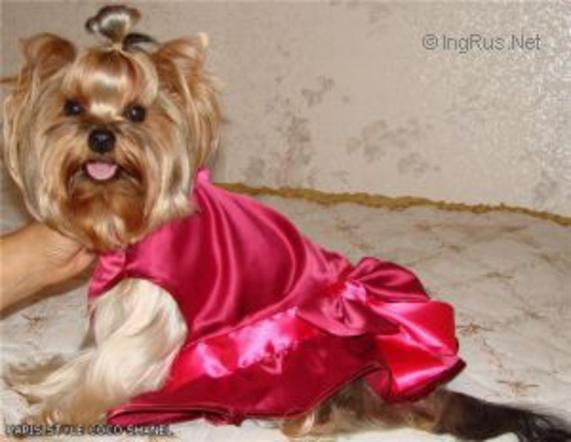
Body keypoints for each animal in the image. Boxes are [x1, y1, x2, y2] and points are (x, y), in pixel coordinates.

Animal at [2, 5, 570, 441]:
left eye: (138, 114)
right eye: (72, 107)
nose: (100, 137)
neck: (125, 210)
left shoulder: (156, 312)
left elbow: (110, 363)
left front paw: (53, 411)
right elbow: (88, 353)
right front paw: (41, 377)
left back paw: (308, 419)